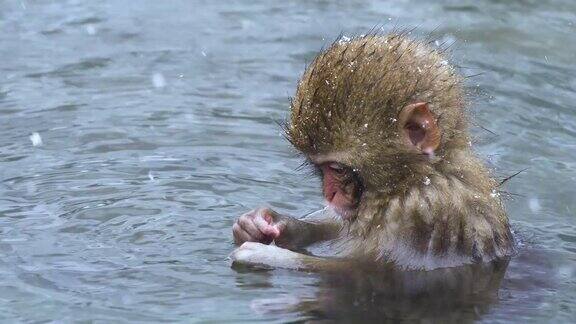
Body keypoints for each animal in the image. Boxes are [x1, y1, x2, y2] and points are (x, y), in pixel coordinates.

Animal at [228, 32, 512, 270]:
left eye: (337, 169)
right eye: (320, 169)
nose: (330, 194)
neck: (422, 176)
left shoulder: (427, 211)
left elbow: (364, 269)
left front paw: (266, 256)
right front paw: (263, 222)